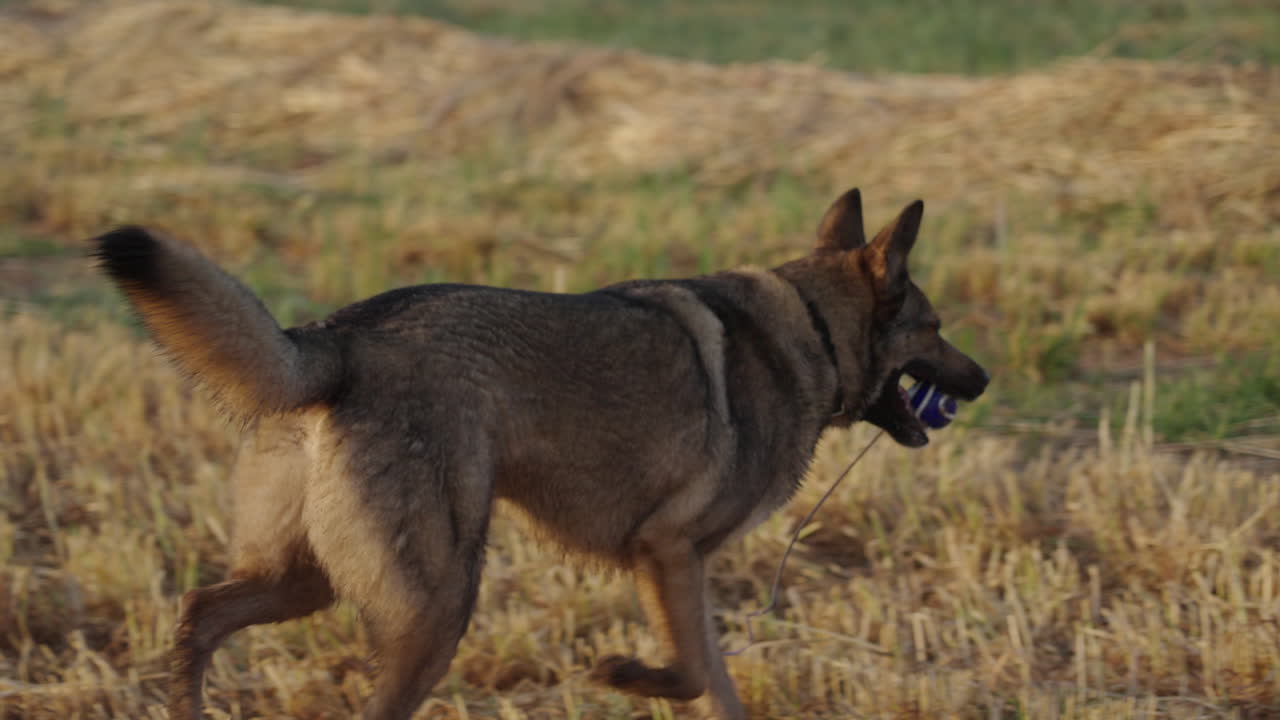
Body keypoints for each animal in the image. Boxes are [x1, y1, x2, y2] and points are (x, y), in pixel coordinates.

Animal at [93, 188, 988, 719]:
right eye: (937, 328)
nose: (984, 379)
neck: (812, 326)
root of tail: (341, 338)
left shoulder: (682, 568)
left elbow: (718, 685)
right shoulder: (669, 552)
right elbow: (693, 673)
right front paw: (623, 677)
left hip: (307, 578)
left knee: (198, 614)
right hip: (435, 605)